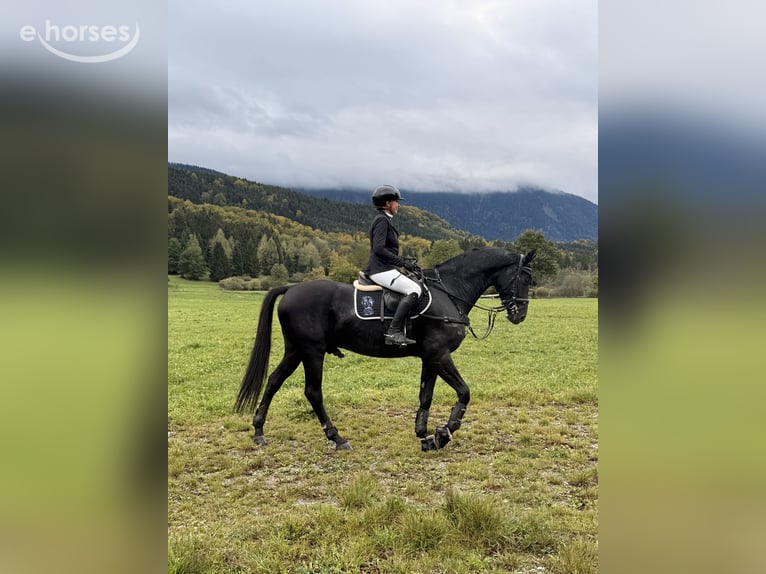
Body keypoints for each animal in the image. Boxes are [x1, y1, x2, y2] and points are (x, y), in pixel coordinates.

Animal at [234, 247, 536, 451]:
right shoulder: (440, 354)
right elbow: (464, 392)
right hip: (312, 351)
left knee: (274, 381)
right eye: (525, 278)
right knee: (312, 392)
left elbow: (425, 396)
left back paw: (259, 431)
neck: (450, 292)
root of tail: (290, 289)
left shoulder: (430, 357)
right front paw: (443, 434)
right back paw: (337, 438)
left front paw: (424, 435)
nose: (520, 315)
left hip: (295, 350)